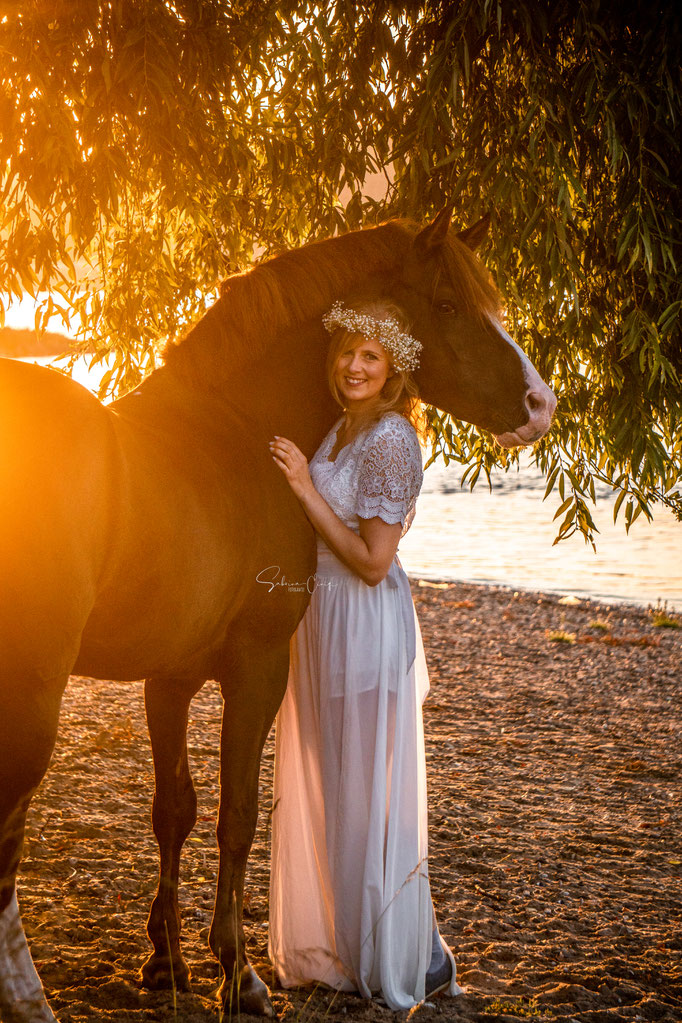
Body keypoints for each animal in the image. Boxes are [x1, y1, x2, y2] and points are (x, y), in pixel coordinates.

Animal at [0, 209, 556, 1023]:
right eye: (451, 305)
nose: (540, 405)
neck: (232, 432)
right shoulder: (257, 666)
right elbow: (236, 813)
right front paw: (238, 973)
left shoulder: (169, 679)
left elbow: (175, 810)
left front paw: (167, 962)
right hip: (34, 694)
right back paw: (25, 992)